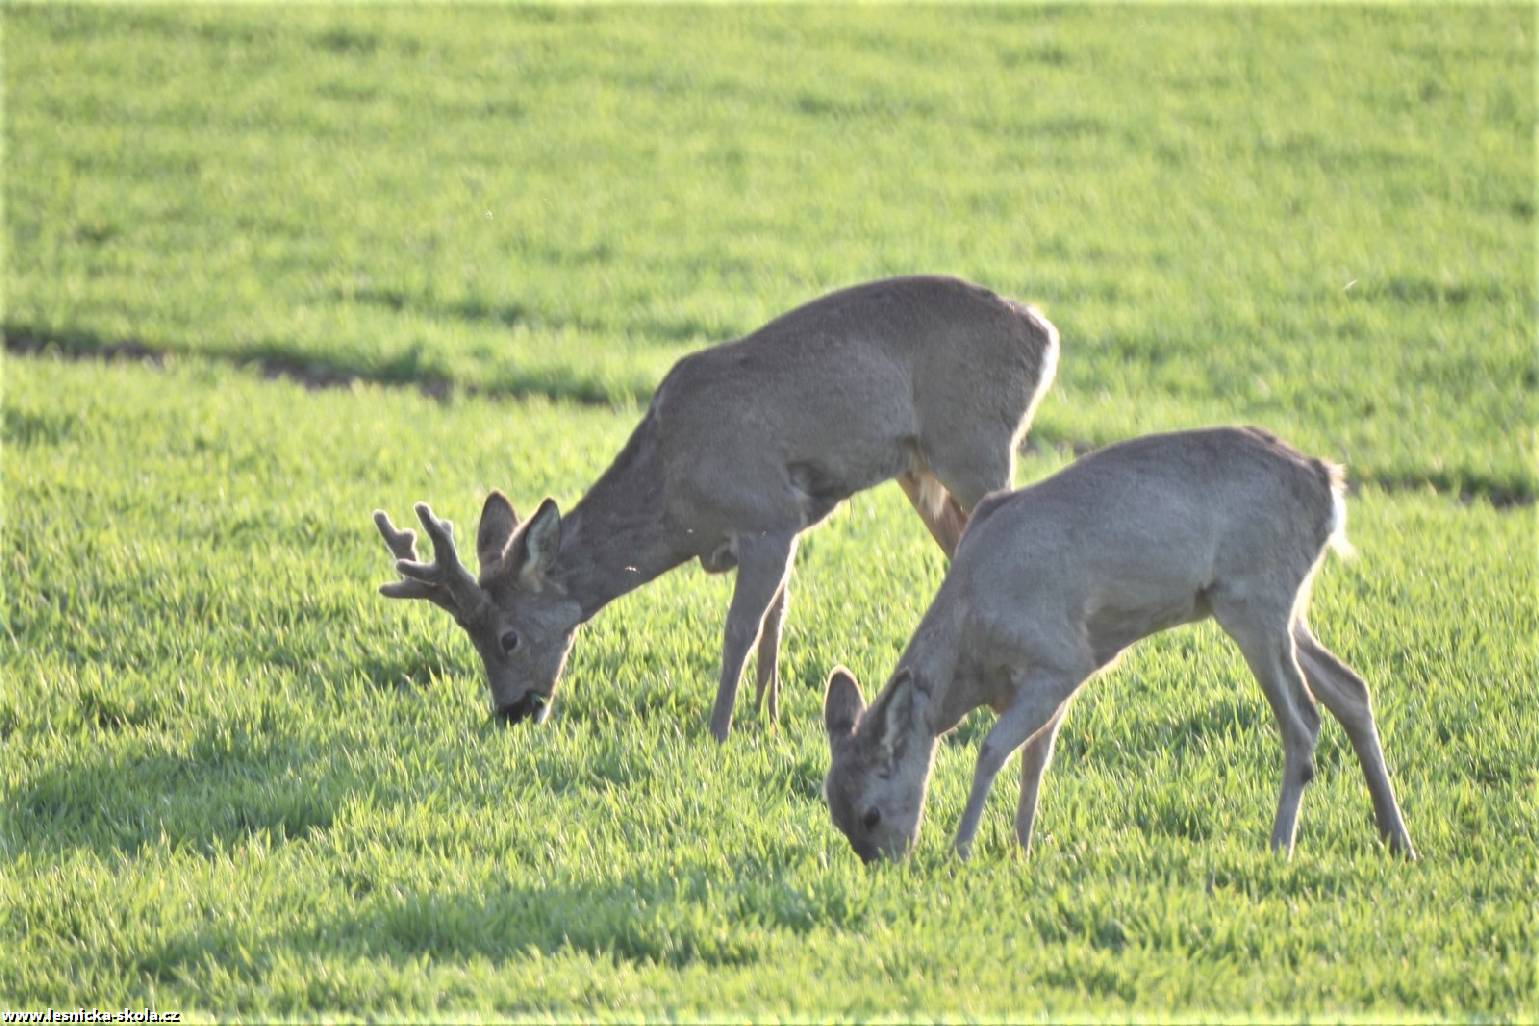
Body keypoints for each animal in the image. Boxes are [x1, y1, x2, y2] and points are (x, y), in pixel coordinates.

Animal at [369, 272, 1058, 738]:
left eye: (507, 637)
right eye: (470, 635)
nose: (513, 712)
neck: (679, 495)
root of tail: (1044, 334)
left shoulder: (766, 514)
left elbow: (740, 630)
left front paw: (718, 729)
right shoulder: (793, 521)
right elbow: (777, 621)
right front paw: (768, 719)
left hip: (976, 444)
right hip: (923, 471)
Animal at [824, 427, 1409, 867]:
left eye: (871, 814)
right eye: (834, 810)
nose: (883, 864)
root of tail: (1329, 485)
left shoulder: (1061, 658)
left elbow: (993, 750)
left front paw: (962, 850)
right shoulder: (1059, 678)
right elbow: (1037, 756)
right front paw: (1021, 847)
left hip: (1254, 599)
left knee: (1303, 720)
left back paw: (1279, 846)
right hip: (1282, 609)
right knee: (1351, 687)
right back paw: (1397, 839)